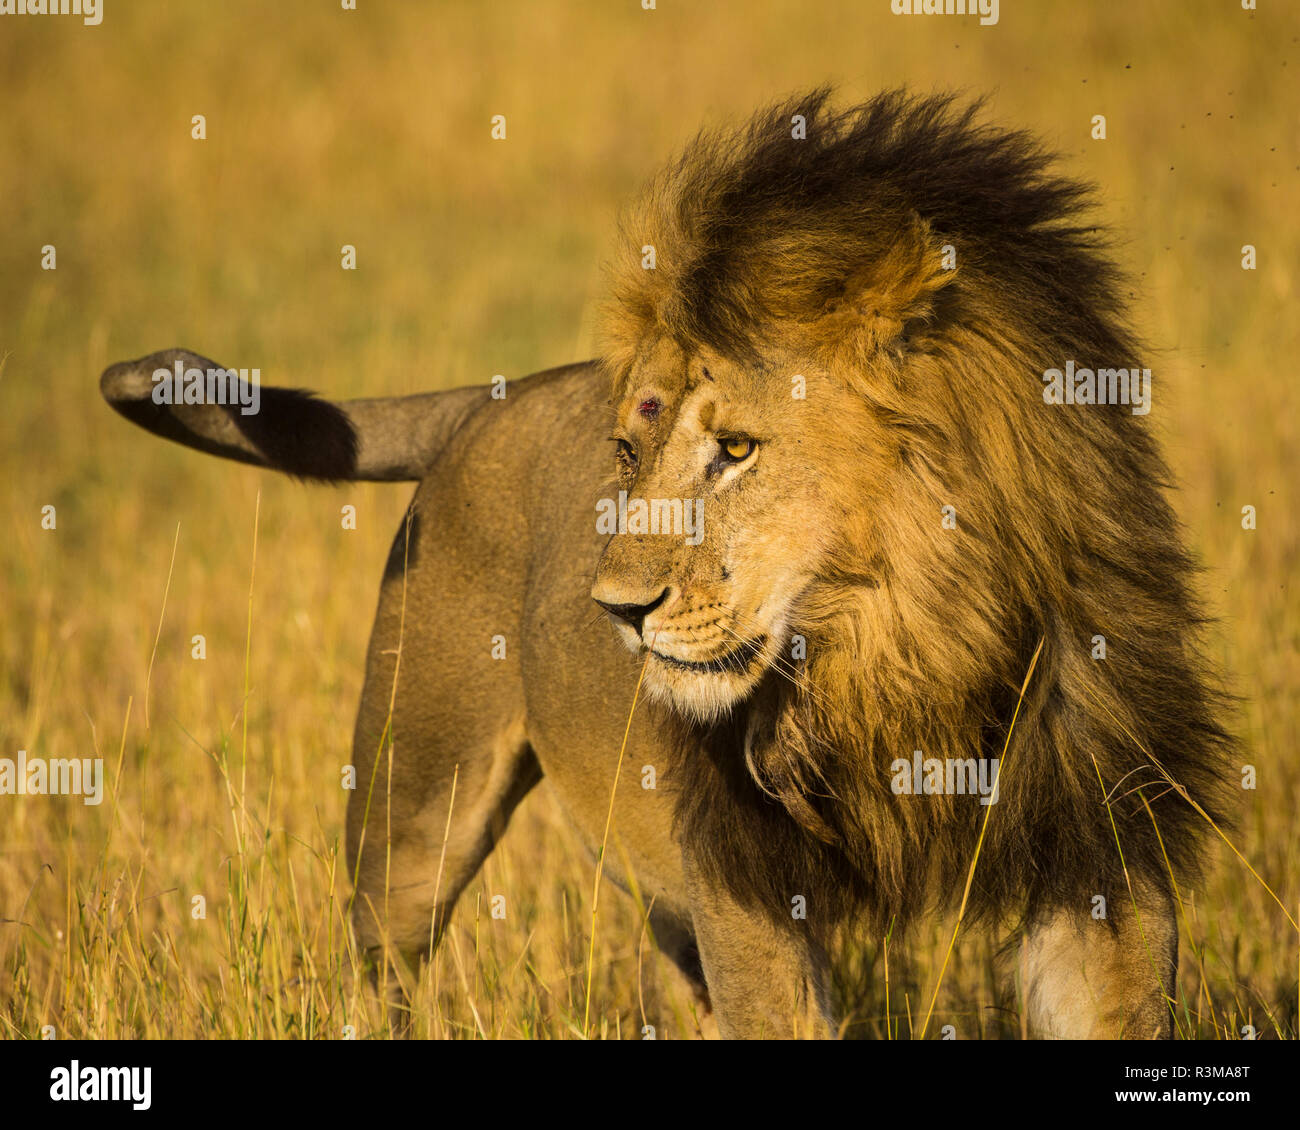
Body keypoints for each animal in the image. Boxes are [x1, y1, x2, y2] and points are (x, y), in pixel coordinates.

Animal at [98, 90, 1227, 1040]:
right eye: (629, 454)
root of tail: (498, 396)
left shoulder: (1102, 849)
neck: (901, 646)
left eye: (736, 449)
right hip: (412, 793)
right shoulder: (746, 890)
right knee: (380, 961)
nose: (615, 608)